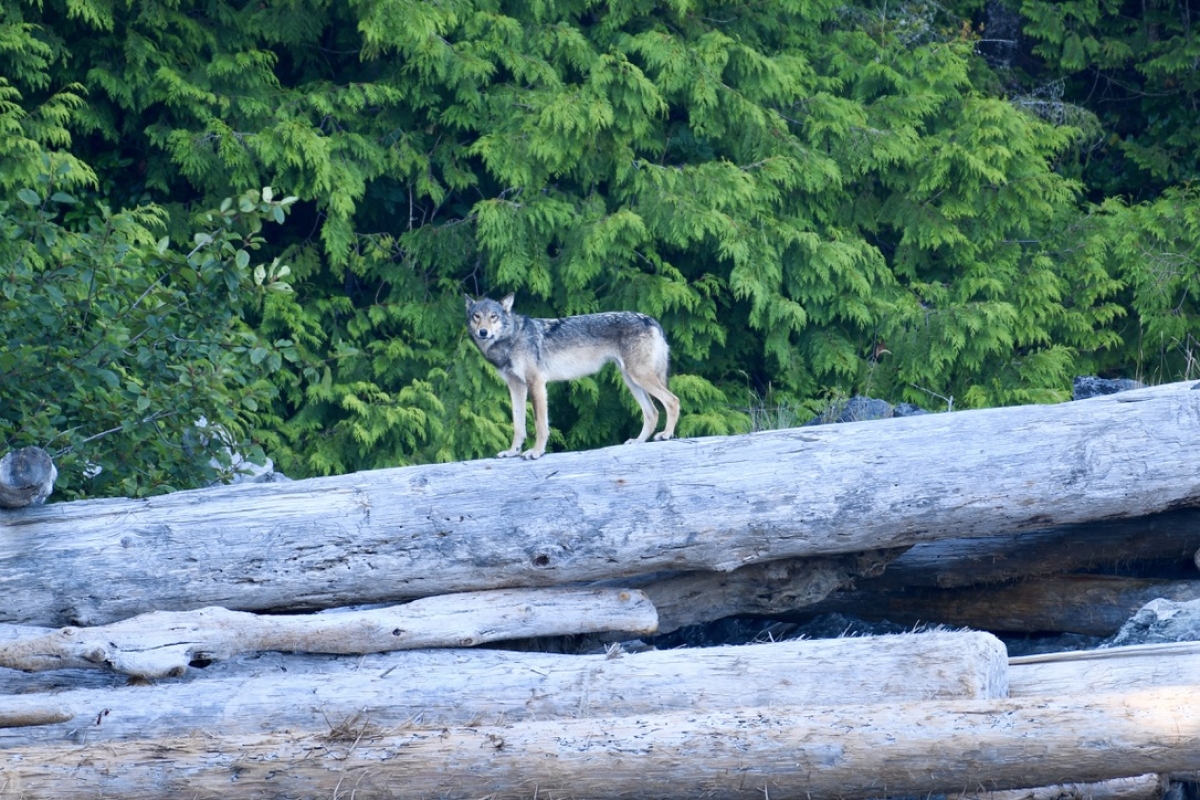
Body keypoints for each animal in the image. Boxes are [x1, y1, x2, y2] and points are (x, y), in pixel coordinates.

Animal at [463, 293, 681, 460]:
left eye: (493, 316)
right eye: (476, 316)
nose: (483, 332)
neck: (512, 338)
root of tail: (651, 320)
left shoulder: (536, 384)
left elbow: (540, 425)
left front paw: (536, 452)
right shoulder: (516, 387)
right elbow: (518, 426)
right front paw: (512, 452)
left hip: (639, 377)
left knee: (673, 400)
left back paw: (666, 434)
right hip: (632, 381)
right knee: (653, 412)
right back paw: (638, 441)